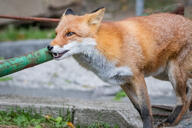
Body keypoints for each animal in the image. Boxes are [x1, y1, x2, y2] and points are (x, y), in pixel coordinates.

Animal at [47, 7, 192, 127]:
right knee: (188, 90)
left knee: (183, 100)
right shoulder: (122, 81)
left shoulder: (137, 76)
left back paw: (170, 121)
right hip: (162, 74)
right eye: (56, 33)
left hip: (173, 73)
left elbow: (146, 110)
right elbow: (138, 108)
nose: (49, 47)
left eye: (70, 33)